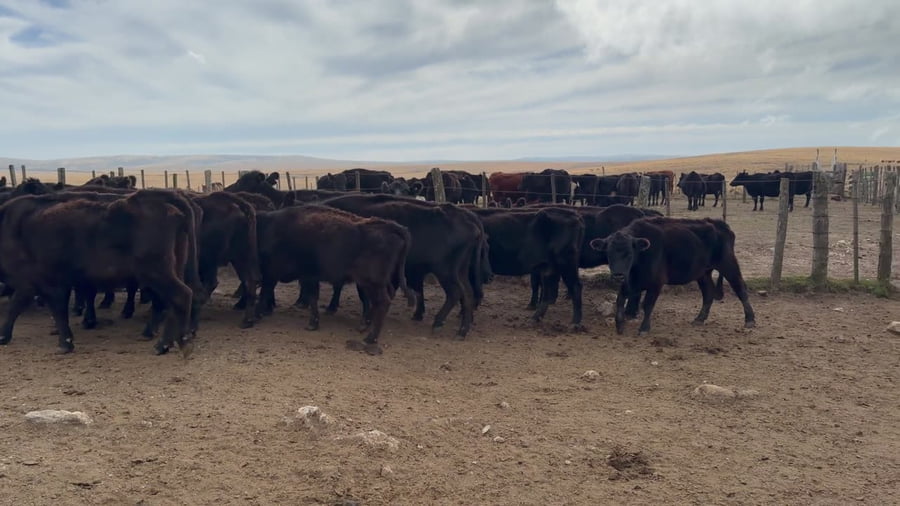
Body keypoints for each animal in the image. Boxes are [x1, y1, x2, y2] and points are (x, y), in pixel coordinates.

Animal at [0, 189, 204, 355]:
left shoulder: (36, 281)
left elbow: (36, 307)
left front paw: (64, 343)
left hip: (157, 272)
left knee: (181, 296)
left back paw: (172, 344)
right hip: (170, 269)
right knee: (169, 302)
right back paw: (162, 341)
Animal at [254, 205, 416, 355]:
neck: (269, 229)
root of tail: (389, 226)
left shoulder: (275, 275)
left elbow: (265, 293)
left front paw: (257, 314)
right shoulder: (308, 277)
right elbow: (312, 297)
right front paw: (313, 323)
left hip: (372, 283)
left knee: (383, 302)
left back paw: (369, 338)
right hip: (378, 282)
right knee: (386, 297)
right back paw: (365, 325)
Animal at [321, 193, 490, 338]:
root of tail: (466, 216)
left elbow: (361, 294)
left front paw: (363, 319)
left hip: (446, 272)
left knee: (455, 293)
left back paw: (439, 324)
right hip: (459, 272)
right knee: (467, 294)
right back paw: (462, 330)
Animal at [589, 217, 756, 336]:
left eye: (629, 253)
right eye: (608, 253)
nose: (617, 275)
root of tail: (720, 224)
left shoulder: (656, 283)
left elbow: (647, 304)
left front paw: (644, 328)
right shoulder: (631, 282)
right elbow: (620, 299)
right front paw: (619, 325)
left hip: (728, 264)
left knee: (740, 289)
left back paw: (750, 320)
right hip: (703, 273)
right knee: (708, 293)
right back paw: (699, 319)